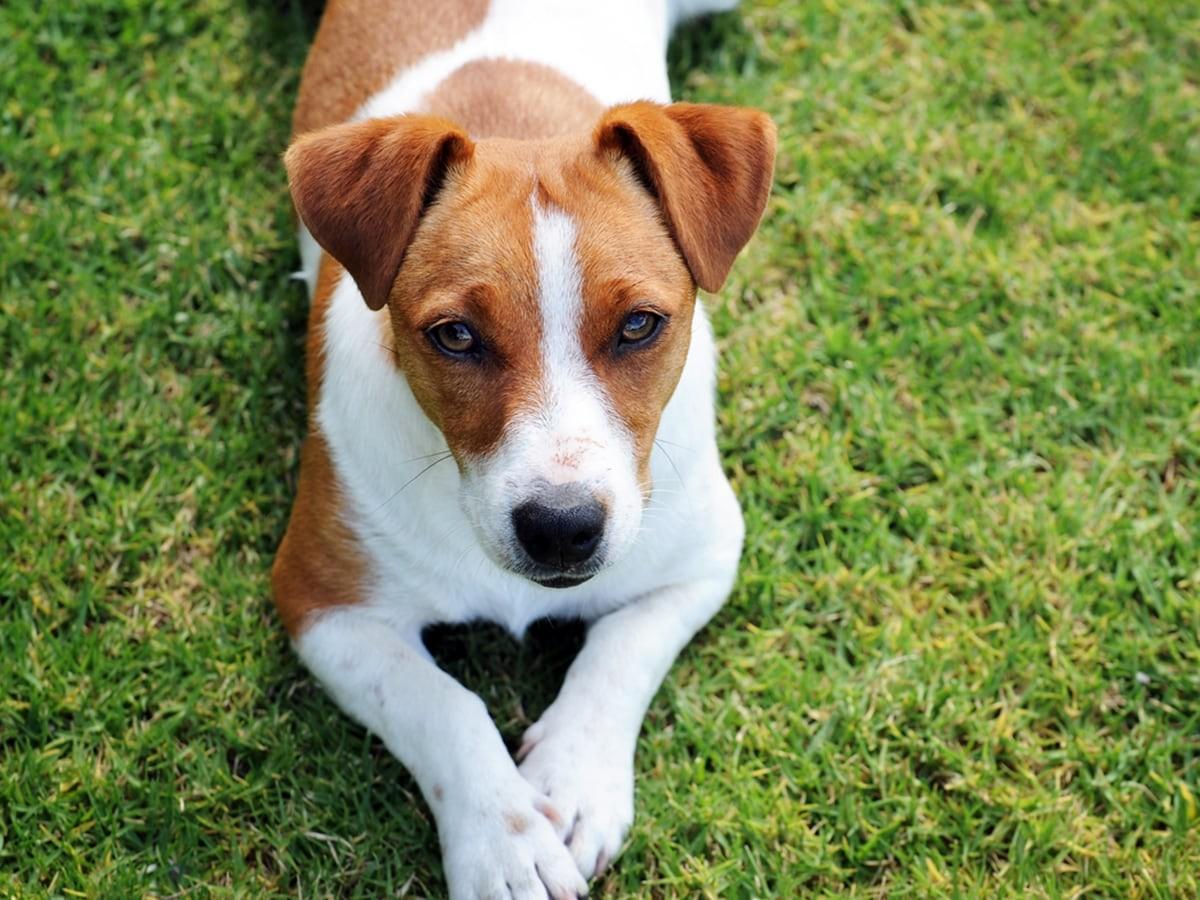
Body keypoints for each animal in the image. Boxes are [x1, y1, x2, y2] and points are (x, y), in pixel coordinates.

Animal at [272, 3, 777, 897]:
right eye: (455, 336)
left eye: (640, 325)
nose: (563, 529)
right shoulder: (323, 604)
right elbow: (440, 704)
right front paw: (503, 841)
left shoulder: (702, 560)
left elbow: (618, 656)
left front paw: (573, 784)